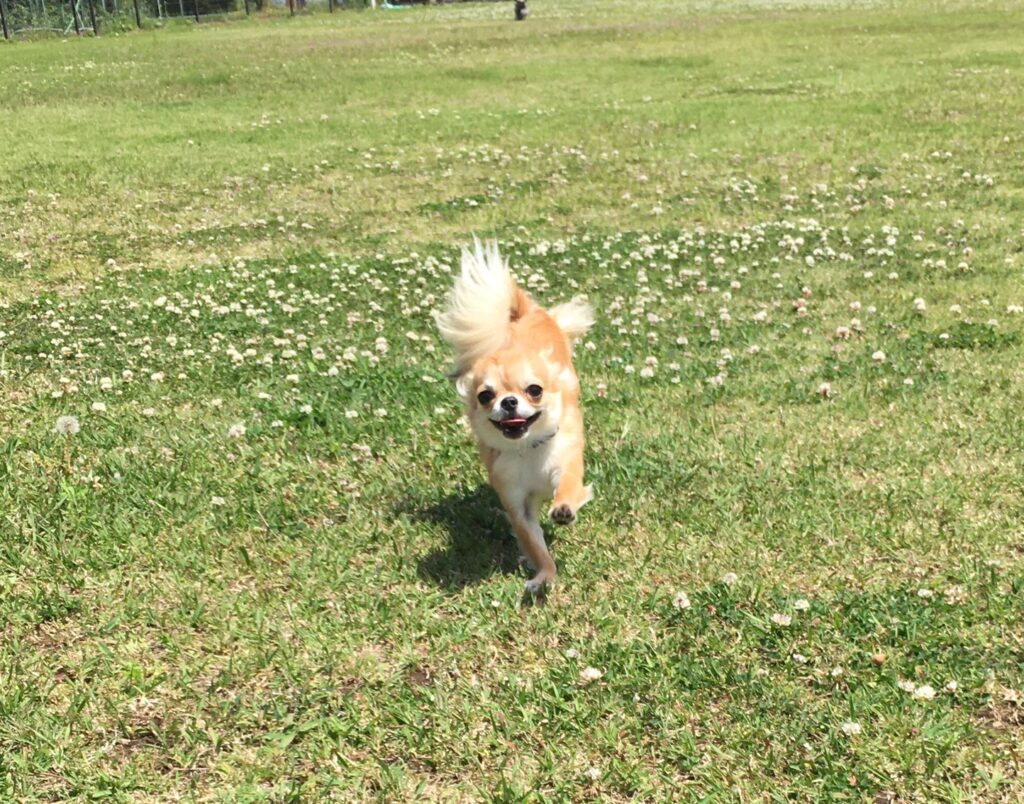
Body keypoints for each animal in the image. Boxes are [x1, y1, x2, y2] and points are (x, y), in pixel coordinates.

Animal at [436, 240, 593, 594]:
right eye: (485, 396)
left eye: (534, 390)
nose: (508, 402)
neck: (527, 449)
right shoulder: (516, 503)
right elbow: (534, 543)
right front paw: (545, 576)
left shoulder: (565, 462)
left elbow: (568, 488)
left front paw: (563, 509)